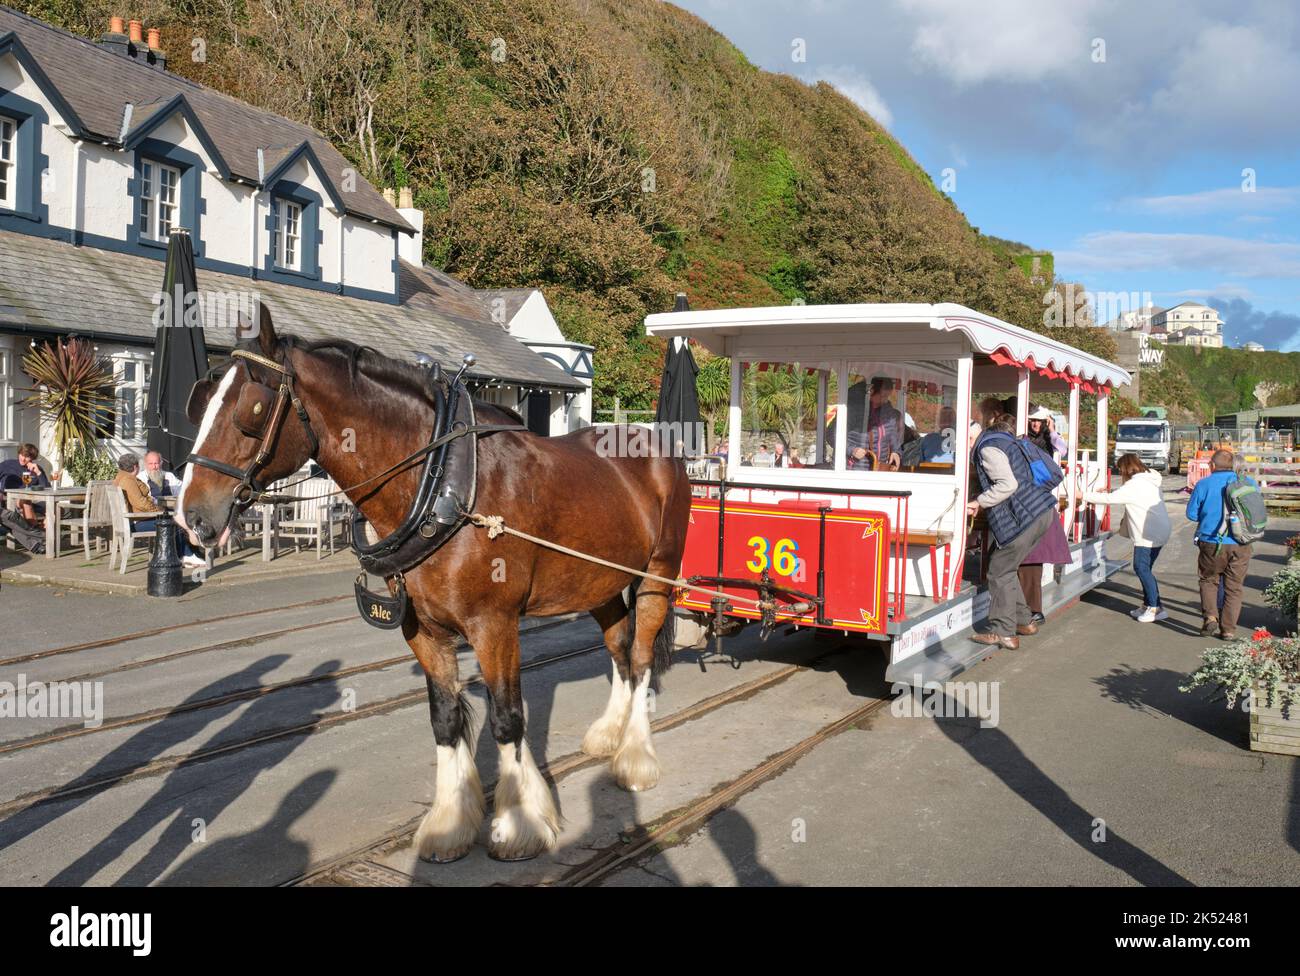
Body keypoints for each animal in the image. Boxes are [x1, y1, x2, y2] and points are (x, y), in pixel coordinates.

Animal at [180, 306, 702, 862]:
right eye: (202, 399)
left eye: (251, 408)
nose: (192, 515)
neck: (441, 486)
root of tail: (655, 445)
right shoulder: (423, 629)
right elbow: (445, 719)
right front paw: (450, 823)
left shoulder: (494, 625)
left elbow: (506, 718)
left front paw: (517, 824)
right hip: (599, 582)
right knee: (619, 647)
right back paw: (609, 734)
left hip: (656, 575)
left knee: (641, 657)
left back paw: (635, 757)